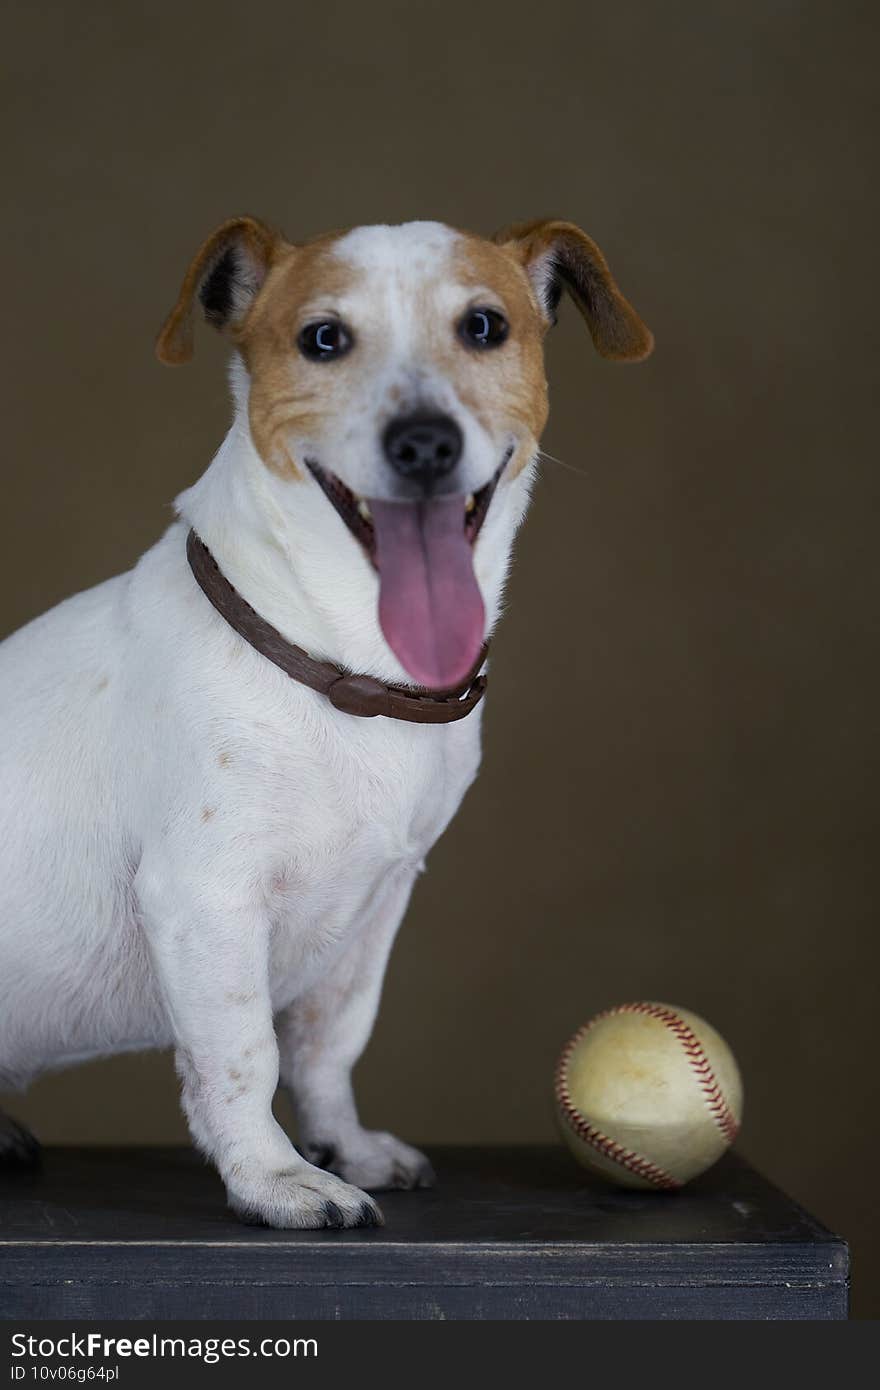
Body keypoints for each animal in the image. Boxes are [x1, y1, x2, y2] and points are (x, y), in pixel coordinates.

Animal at [0, 216, 653, 1228]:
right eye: (323, 339)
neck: (343, 670)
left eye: (484, 326)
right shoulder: (207, 899)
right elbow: (243, 1055)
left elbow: (327, 1041)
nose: (424, 443)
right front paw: (272, 1176)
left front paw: (342, 1145)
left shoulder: (377, 906)